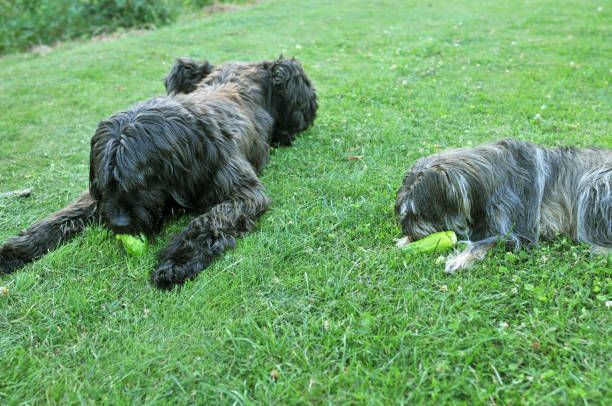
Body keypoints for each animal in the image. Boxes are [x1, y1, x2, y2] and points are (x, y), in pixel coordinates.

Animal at [0, 56, 318, 288]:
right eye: (106, 184)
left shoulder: (243, 192)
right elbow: (61, 217)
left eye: (142, 182)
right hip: (182, 68)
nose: (119, 224)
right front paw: (15, 251)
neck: (189, 145)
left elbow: (208, 220)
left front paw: (178, 260)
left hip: (287, 72)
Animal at [394, 138, 608, 274]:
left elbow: (486, 241)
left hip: (595, 183)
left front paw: (459, 260)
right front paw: (405, 241)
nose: (406, 229)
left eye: (418, 212)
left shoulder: (521, 232)